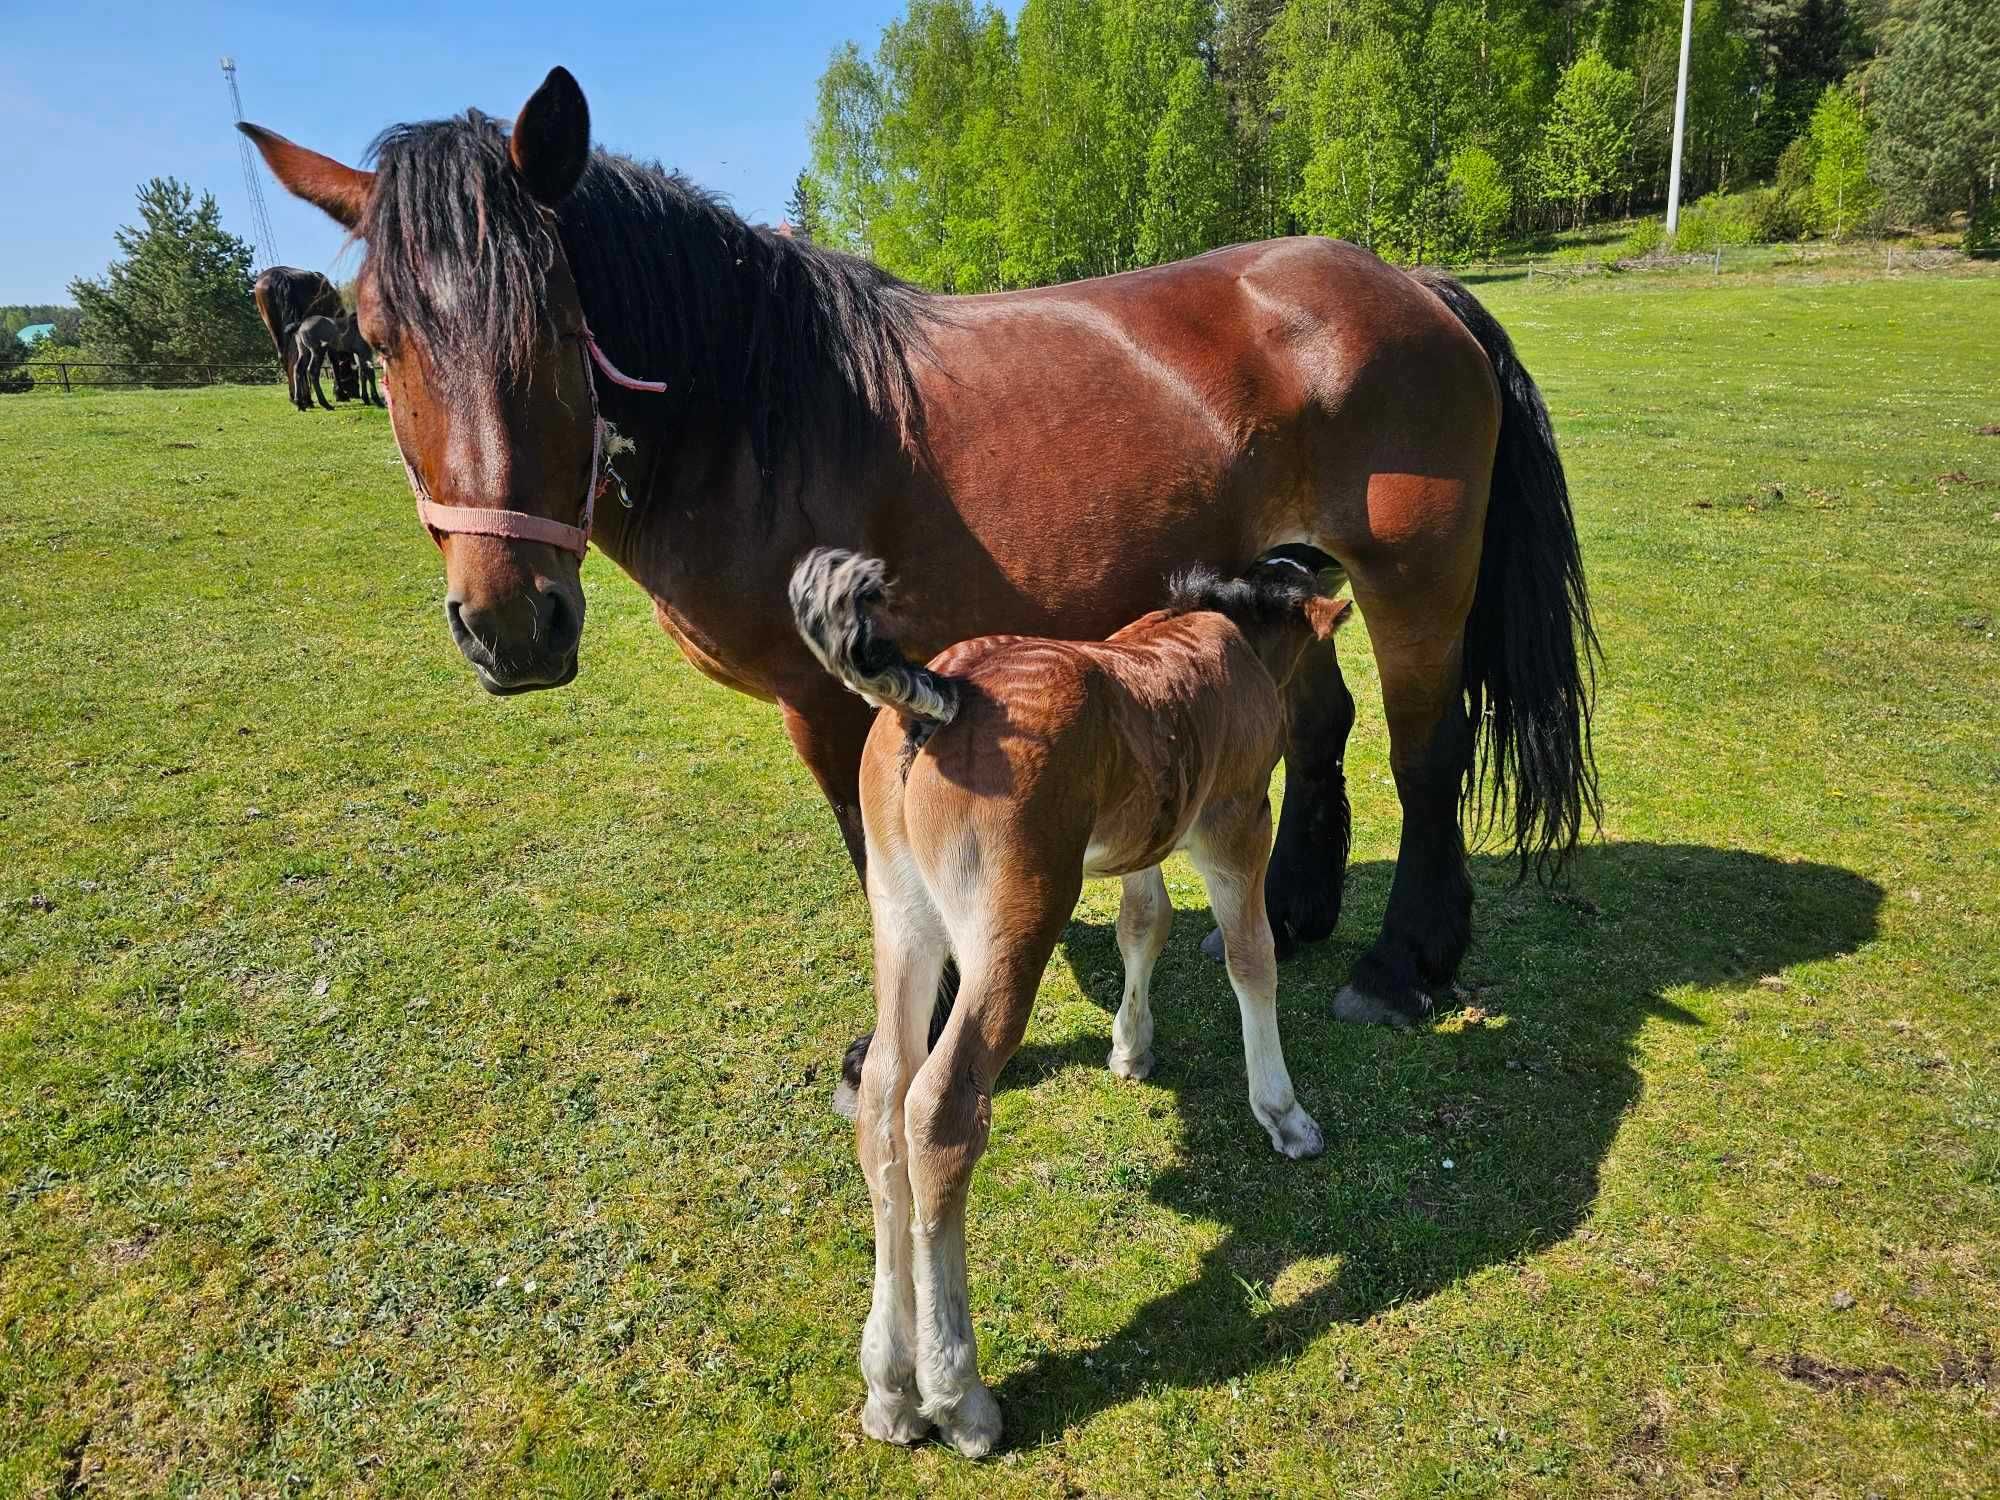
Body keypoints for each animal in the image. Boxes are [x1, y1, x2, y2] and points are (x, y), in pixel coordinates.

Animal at [238, 64, 1608, 1088]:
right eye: (375, 342)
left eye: (558, 327)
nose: (512, 627)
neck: (759, 407)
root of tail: (1406, 281)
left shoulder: (828, 698)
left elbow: (874, 857)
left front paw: (911, 1024)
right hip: (1289, 574)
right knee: (1312, 725)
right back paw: (1303, 905)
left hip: (1412, 581)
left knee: (1424, 756)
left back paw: (1400, 964)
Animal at [788, 548, 1352, 1456]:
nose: (1334, 715)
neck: (1220, 632)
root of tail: (943, 698)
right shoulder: (1236, 820)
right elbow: (1250, 959)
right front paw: (1284, 1115)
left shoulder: (1144, 834)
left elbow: (1143, 923)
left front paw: (1131, 1049)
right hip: (1013, 920)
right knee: (939, 1110)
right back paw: (959, 1396)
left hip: (902, 917)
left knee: (881, 1101)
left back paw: (890, 1388)